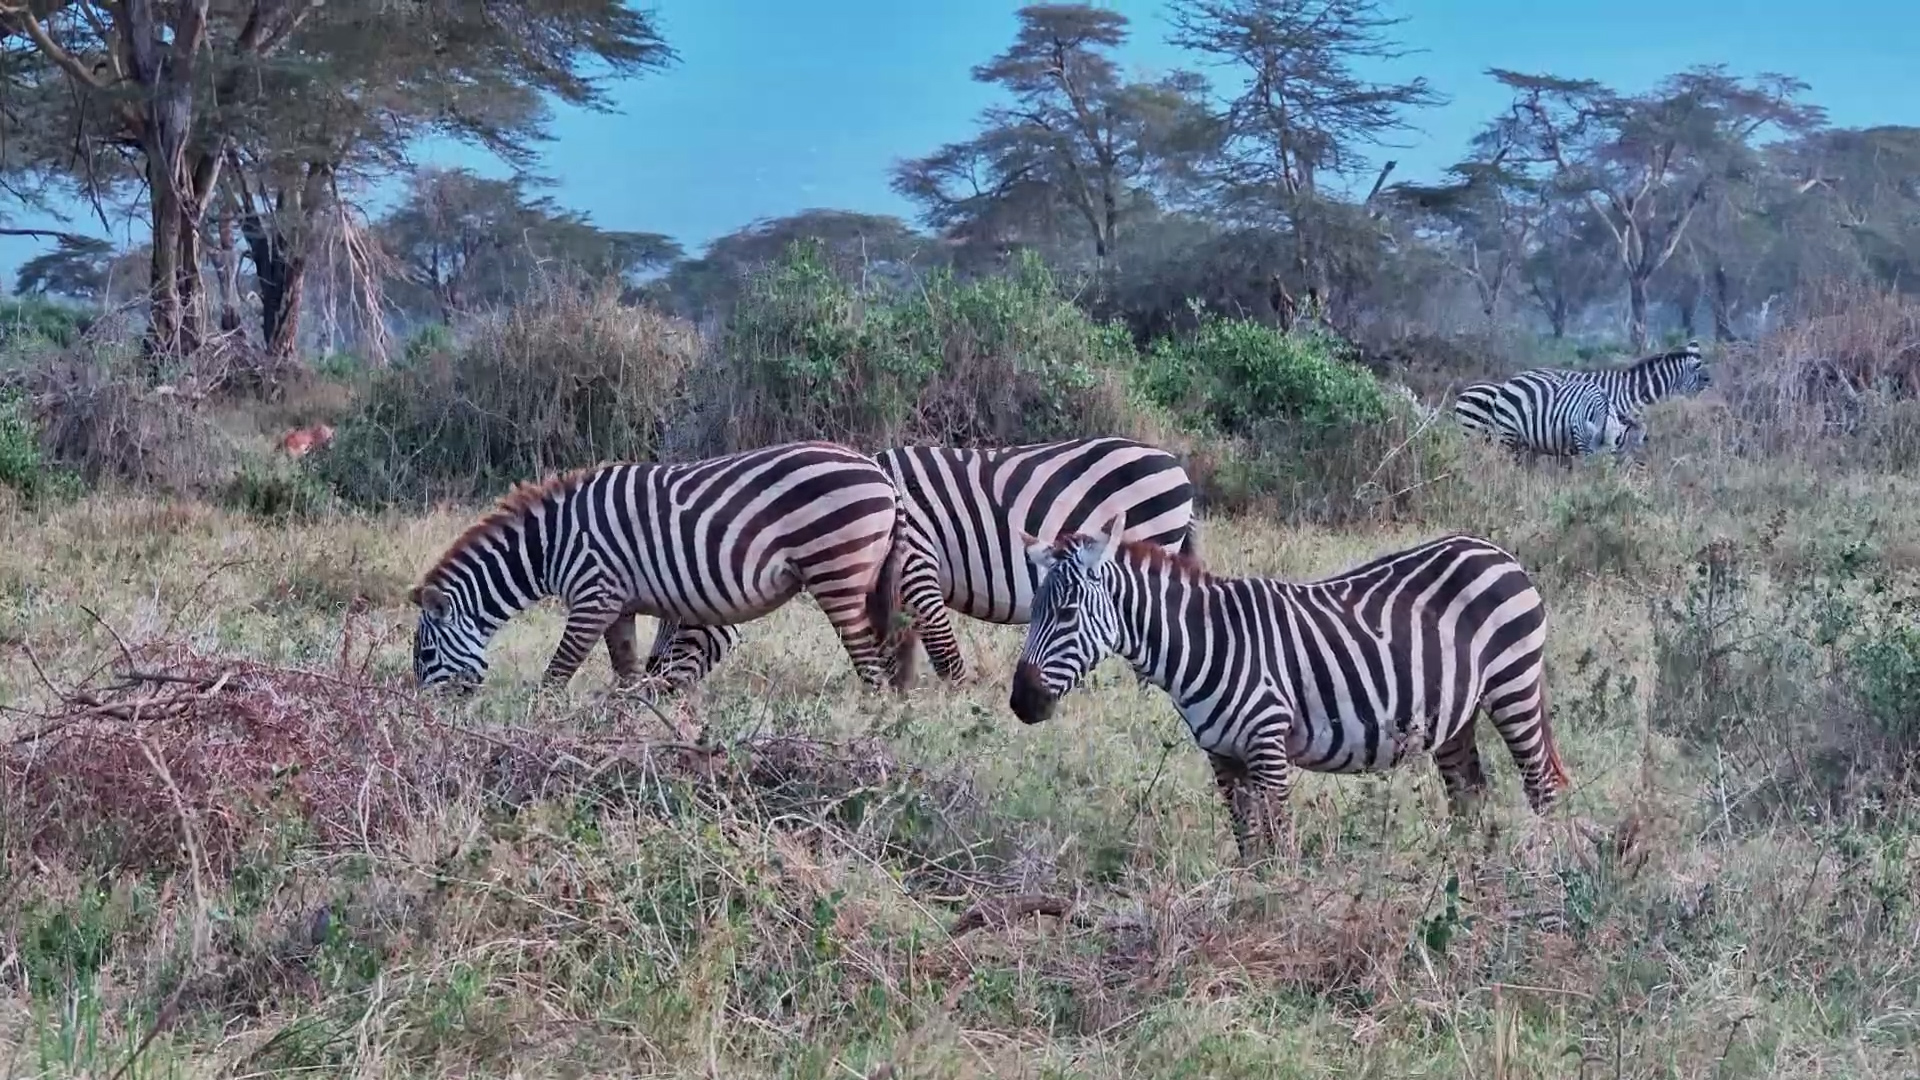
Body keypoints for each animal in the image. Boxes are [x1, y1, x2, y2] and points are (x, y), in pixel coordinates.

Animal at [407, 441, 906, 694]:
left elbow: (557, 674)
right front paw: (629, 724)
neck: (549, 547)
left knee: (867, 660)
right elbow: (627, 670)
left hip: (836, 571)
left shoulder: (594, 595)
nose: (428, 716)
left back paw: (872, 718)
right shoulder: (619, 605)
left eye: (426, 656)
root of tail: (879, 473)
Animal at [632, 436, 1202, 691]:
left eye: (680, 619)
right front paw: (904, 702)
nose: (649, 684)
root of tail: (1173, 463)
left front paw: (955, 710)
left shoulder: (918, 567)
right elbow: (897, 651)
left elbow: (943, 656)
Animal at [1007, 518, 1573, 862]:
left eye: (1067, 612)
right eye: (1031, 612)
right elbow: (1246, 841)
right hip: (1456, 714)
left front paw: (1277, 906)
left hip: (1514, 687)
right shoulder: (1222, 755)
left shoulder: (1267, 742)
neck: (1205, 642)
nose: (1022, 703)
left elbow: (1278, 839)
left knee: (1541, 787)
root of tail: (1497, 552)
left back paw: (1541, 873)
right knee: (1469, 795)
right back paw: (1459, 874)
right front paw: (1247, 902)